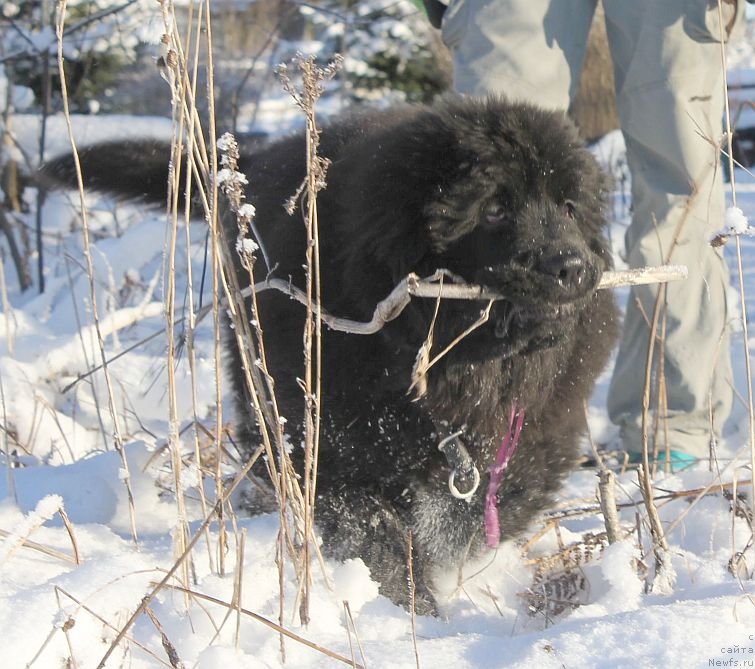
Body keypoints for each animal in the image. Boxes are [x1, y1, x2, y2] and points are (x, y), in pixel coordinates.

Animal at [44, 95, 616, 616]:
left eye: (569, 207)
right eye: (495, 208)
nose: (572, 266)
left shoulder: (535, 432)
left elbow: (496, 500)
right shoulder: (326, 442)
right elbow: (372, 526)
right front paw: (412, 603)